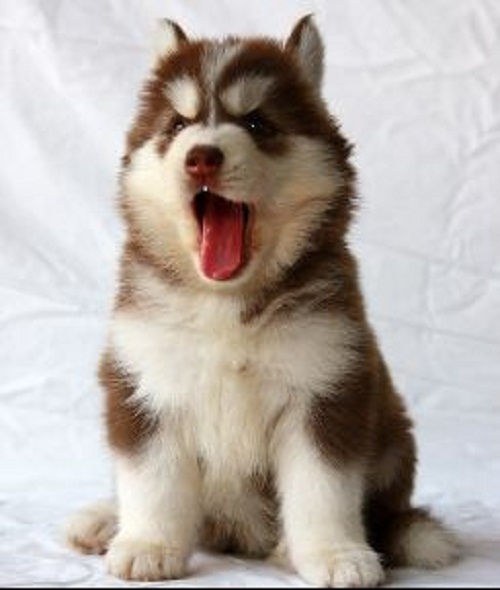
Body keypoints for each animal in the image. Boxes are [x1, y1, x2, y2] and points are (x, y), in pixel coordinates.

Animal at [65, 16, 460, 587]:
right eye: (178, 126)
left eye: (256, 123)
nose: (201, 156)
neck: (226, 302)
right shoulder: (144, 381)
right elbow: (151, 480)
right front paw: (147, 544)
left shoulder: (328, 385)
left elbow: (323, 490)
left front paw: (335, 554)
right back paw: (101, 519)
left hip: (391, 440)